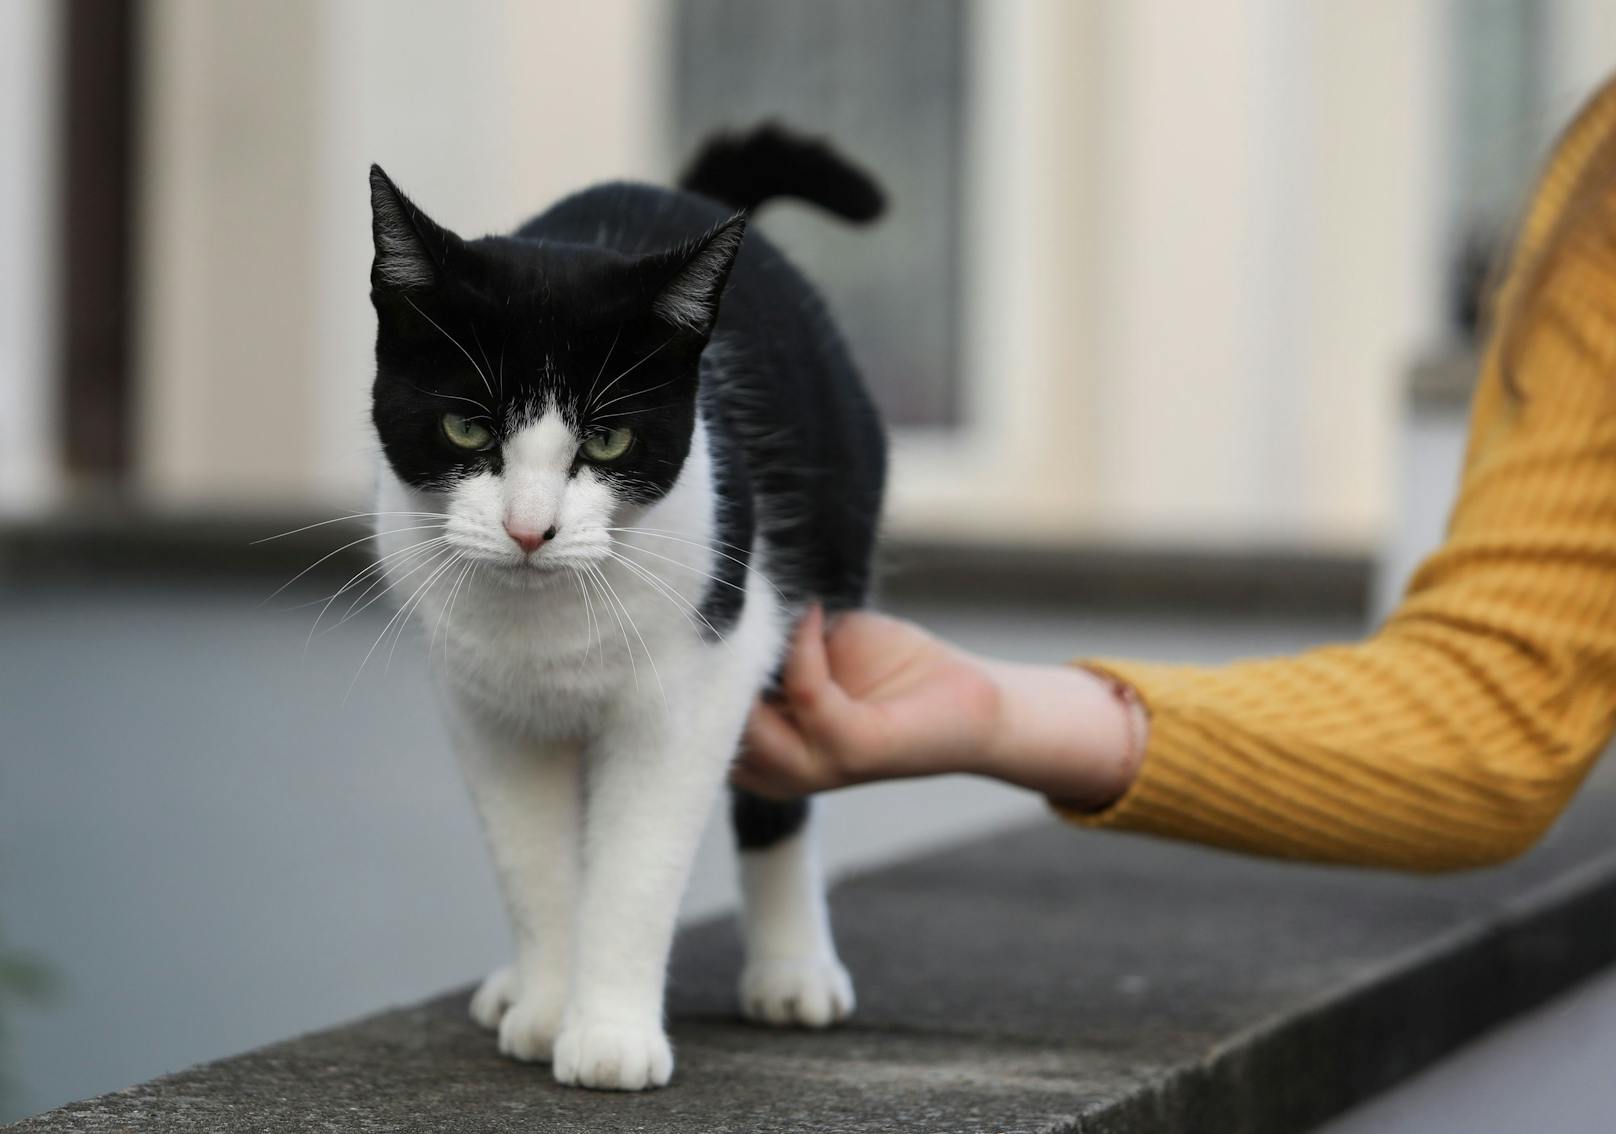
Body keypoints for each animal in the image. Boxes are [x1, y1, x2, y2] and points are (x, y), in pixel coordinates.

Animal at [366, 126, 892, 1092]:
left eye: (608, 440)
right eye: (467, 428)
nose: (529, 529)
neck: (546, 621)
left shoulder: (695, 685)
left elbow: (637, 865)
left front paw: (608, 1035)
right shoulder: (481, 705)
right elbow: (532, 864)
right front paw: (546, 1009)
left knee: (779, 803)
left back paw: (793, 971)